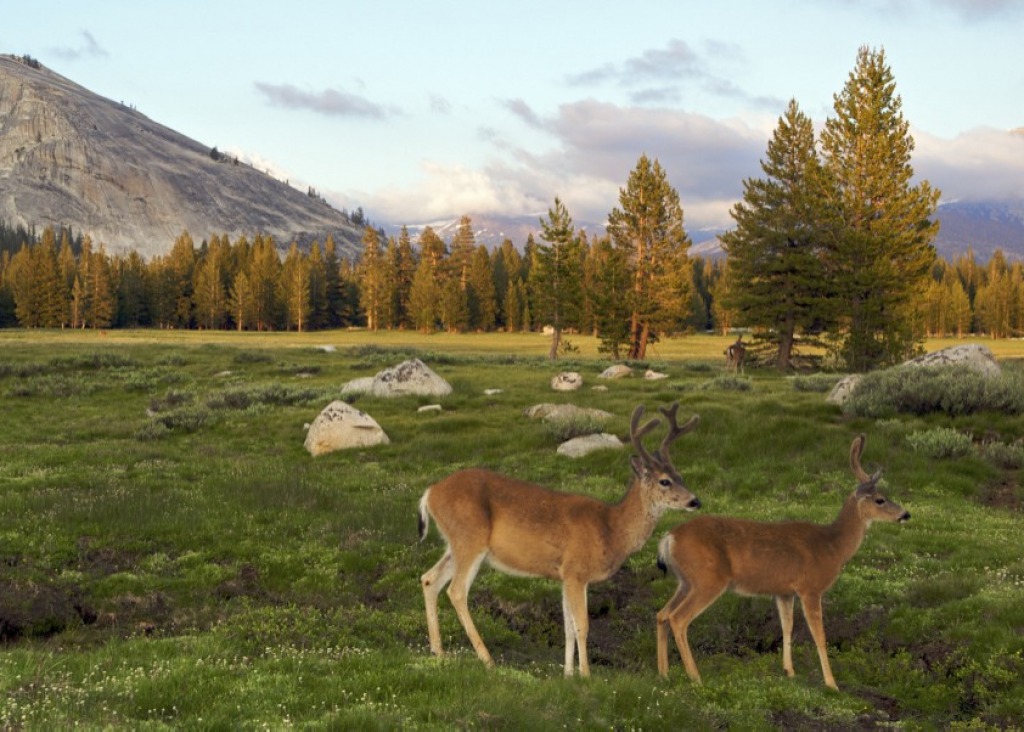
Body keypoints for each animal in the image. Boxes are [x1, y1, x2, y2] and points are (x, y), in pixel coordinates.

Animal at [419, 403, 700, 679]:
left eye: (681, 476)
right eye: (665, 481)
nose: (695, 501)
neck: (610, 529)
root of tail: (429, 493)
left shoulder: (565, 576)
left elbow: (568, 627)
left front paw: (567, 674)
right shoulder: (577, 571)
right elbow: (583, 625)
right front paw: (586, 675)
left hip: (455, 543)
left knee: (429, 578)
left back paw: (438, 652)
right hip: (470, 538)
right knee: (456, 591)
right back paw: (487, 660)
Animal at [651, 436, 909, 692]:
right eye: (880, 499)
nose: (906, 514)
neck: (833, 546)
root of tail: (669, 538)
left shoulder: (784, 592)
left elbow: (787, 626)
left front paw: (789, 672)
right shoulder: (810, 588)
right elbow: (819, 634)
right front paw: (831, 683)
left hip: (685, 581)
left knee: (662, 614)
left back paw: (664, 674)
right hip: (708, 579)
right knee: (678, 618)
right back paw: (695, 677)